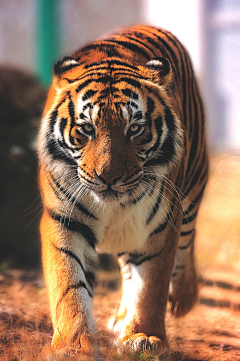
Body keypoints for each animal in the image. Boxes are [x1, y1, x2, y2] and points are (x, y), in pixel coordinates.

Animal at [37, 23, 208, 358]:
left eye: (135, 129)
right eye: (86, 129)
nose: (109, 177)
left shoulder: (160, 224)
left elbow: (151, 285)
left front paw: (145, 337)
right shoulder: (63, 220)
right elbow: (68, 284)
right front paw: (72, 345)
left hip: (193, 185)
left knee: (187, 240)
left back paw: (182, 298)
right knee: (129, 269)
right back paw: (120, 319)